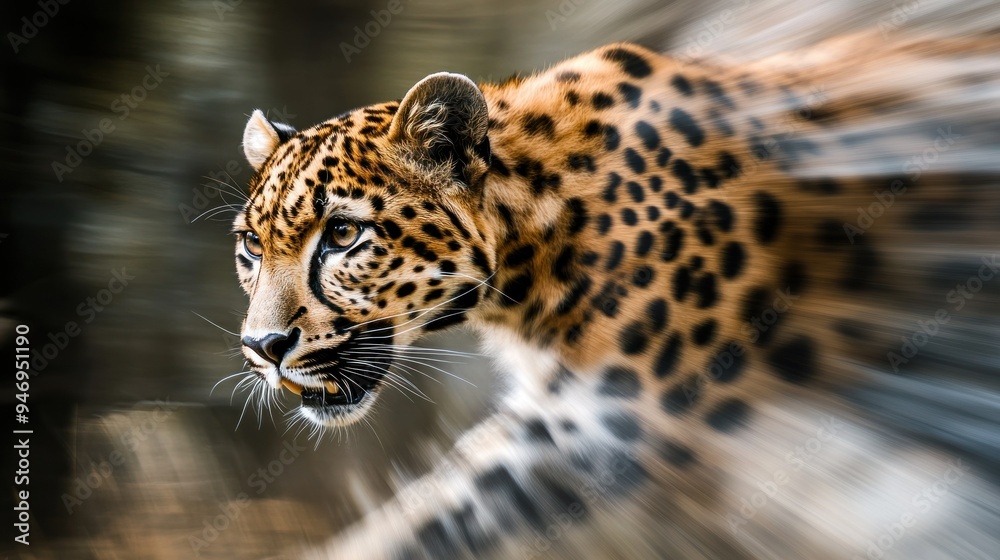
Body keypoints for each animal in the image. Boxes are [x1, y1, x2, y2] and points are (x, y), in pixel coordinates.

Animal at [231, 28, 1000, 560]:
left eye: (342, 234)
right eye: (250, 247)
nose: (262, 347)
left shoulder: (626, 420)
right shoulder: (570, 425)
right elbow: (427, 514)